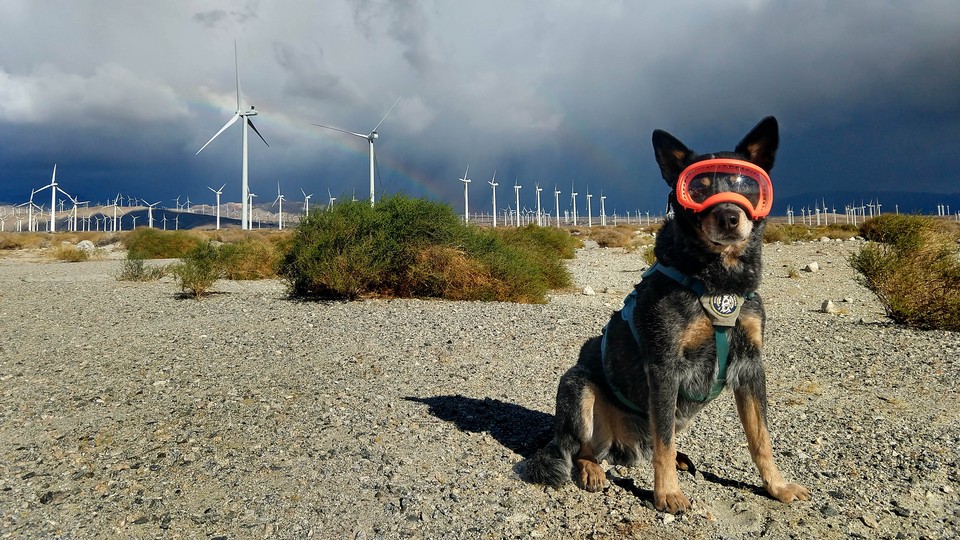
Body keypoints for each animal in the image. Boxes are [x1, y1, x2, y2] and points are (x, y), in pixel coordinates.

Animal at [524, 117, 808, 516]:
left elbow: (761, 438)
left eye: (746, 185)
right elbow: (663, 441)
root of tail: (624, 449)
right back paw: (593, 469)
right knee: (582, 447)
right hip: (577, 386)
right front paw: (667, 493)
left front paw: (777, 486)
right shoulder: (664, 366)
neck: (718, 283)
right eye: (699, 187)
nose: (729, 216)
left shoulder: (751, 364)